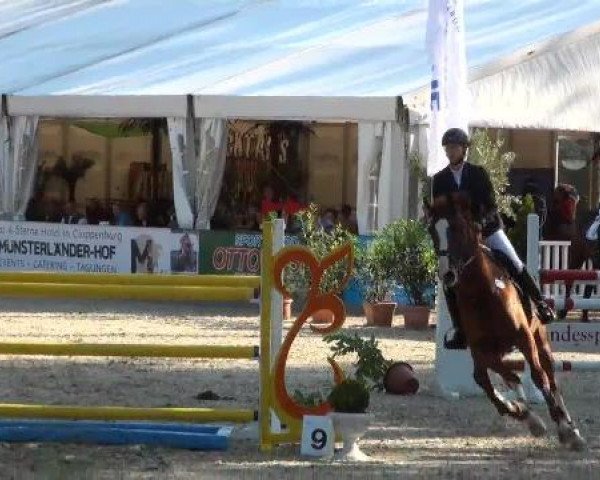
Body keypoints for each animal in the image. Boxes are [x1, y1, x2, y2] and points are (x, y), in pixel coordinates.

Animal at [426, 192, 584, 450]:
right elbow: (498, 381)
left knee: (550, 375)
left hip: (539, 337)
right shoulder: (481, 350)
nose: (447, 275)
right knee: (487, 378)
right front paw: (527, 416)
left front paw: (563, 428)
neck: (481, 292)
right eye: (432, 231)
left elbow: (538, 377)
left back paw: (571, 427)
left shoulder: (524, 338)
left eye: (457, 228)